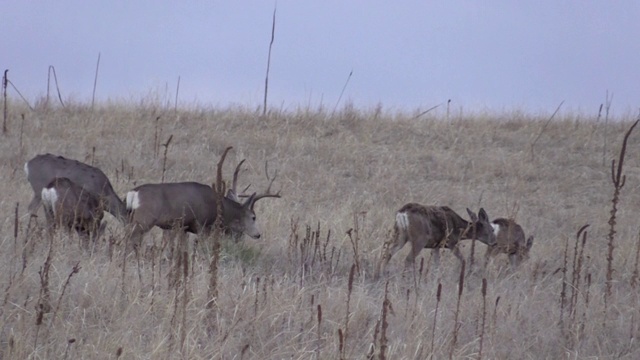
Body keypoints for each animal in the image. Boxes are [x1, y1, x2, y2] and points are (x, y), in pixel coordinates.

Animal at [126, 146, 282, 250]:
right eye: (254, 217)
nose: (258, 235)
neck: (220, 208)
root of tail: (134, 193)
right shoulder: (202, 225)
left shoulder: (184, 227)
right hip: (144, 219)